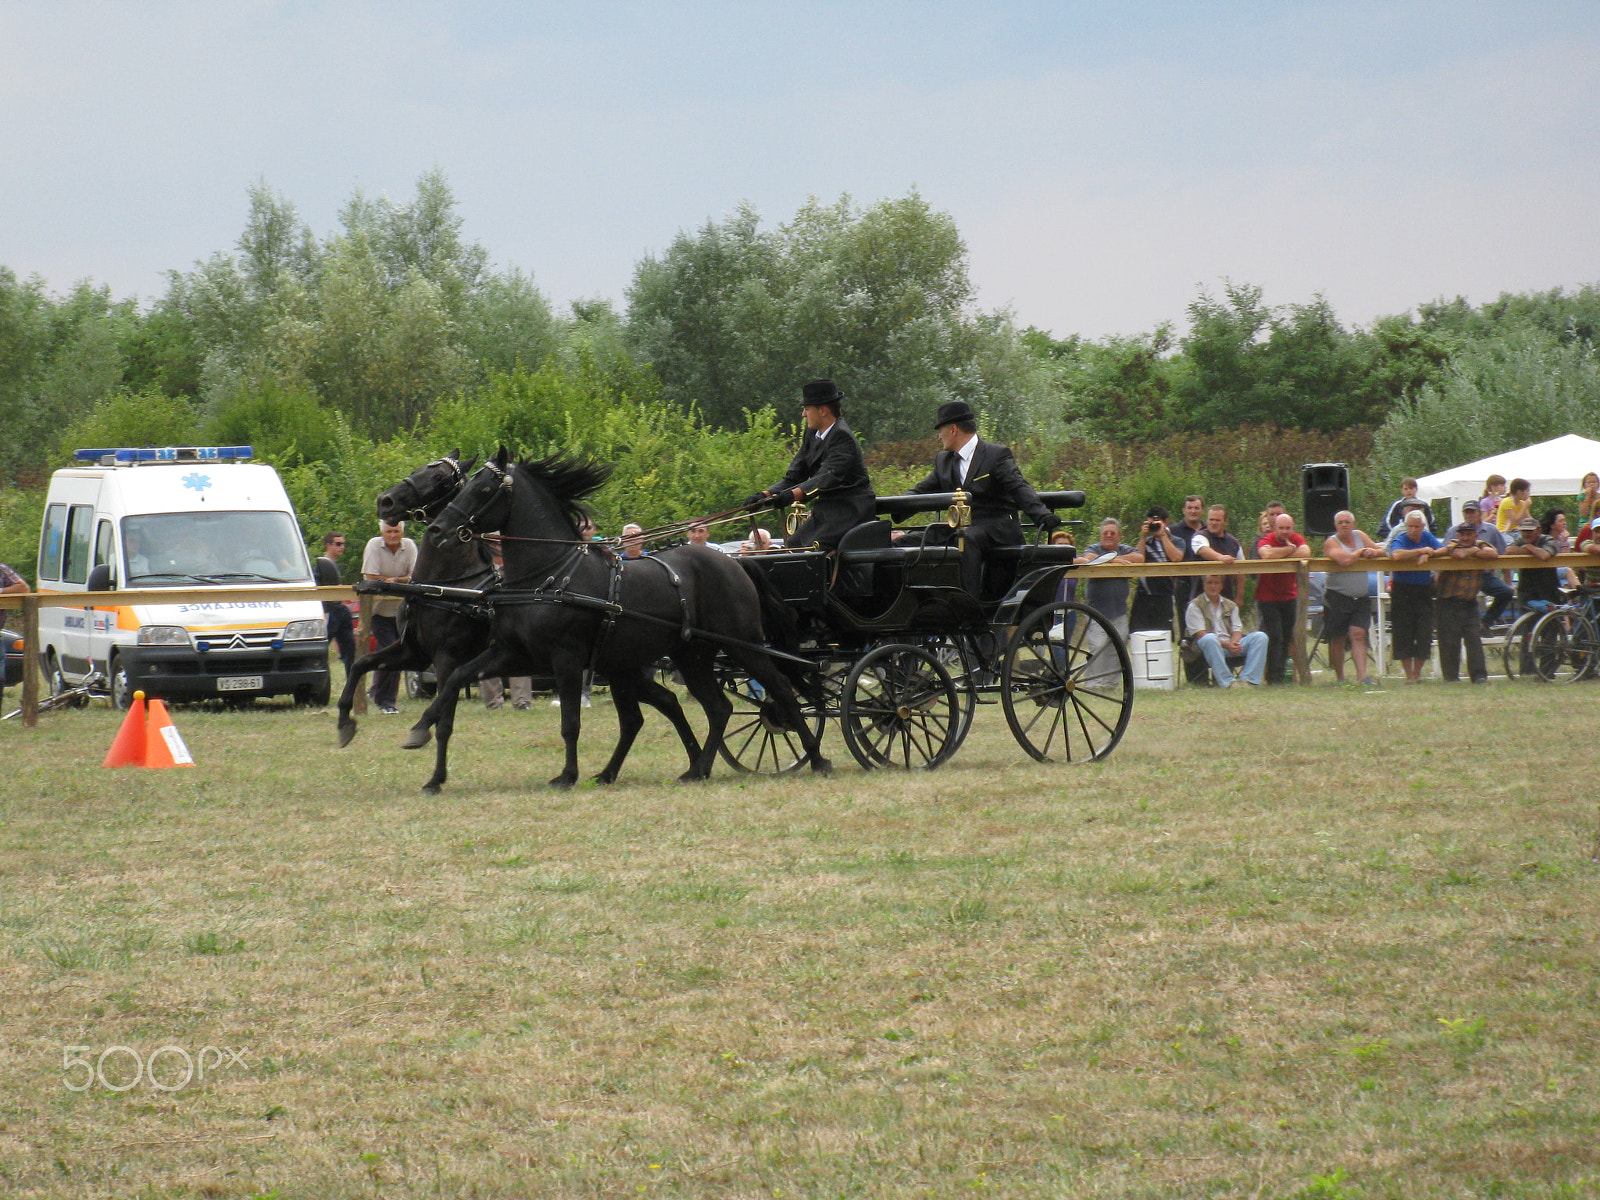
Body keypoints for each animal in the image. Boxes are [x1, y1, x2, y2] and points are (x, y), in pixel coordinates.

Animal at [334, 451, 489, 800]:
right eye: (418, 469)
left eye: (439, 478)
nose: (386, 501)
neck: (446, 587)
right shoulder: (414, 654)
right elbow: (361, 664)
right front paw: (345, 723)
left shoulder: (448, 661)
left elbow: (444, 722)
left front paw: (435, 777)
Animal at [419, 448, 832, 790]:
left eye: (484, 488)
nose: (438, 529)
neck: (548, 576)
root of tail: (735, 562)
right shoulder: (512, 654)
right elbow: (455, 678)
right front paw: (420, 732)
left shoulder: (566, 659)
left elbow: (570, 721)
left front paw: (567, 775)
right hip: (689, 656)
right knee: (716, 708)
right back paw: (694, 768)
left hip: (743, 646)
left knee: (780, 690)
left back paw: (816, 759)